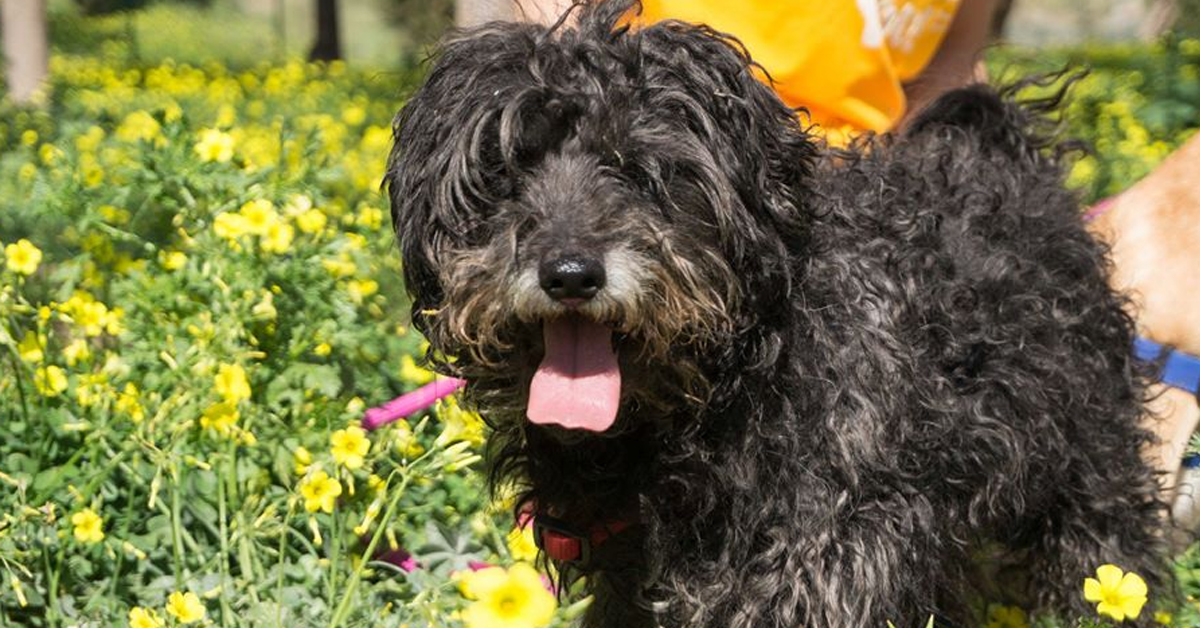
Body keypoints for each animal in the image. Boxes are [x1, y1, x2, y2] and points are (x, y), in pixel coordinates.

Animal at [388, 1, 1166, 628]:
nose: (570, 274)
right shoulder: (627, 572)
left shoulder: (827, 555)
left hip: (1088, 475)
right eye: (503, 170)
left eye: (644, 170)